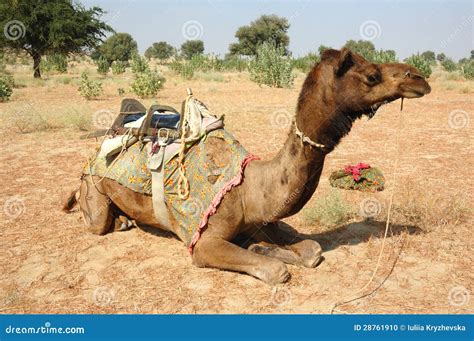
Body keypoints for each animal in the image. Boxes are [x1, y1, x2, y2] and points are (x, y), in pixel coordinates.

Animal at [65, 47, 432, 282]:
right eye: (371, 75)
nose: (419, 77)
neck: (248, 188)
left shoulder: (259, 217)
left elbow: (310, 248)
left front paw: (264, 246)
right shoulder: (203, 243)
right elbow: (276, 271)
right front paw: (269, 256)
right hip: (93, 191)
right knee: (95, 219)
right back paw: (118, 221)